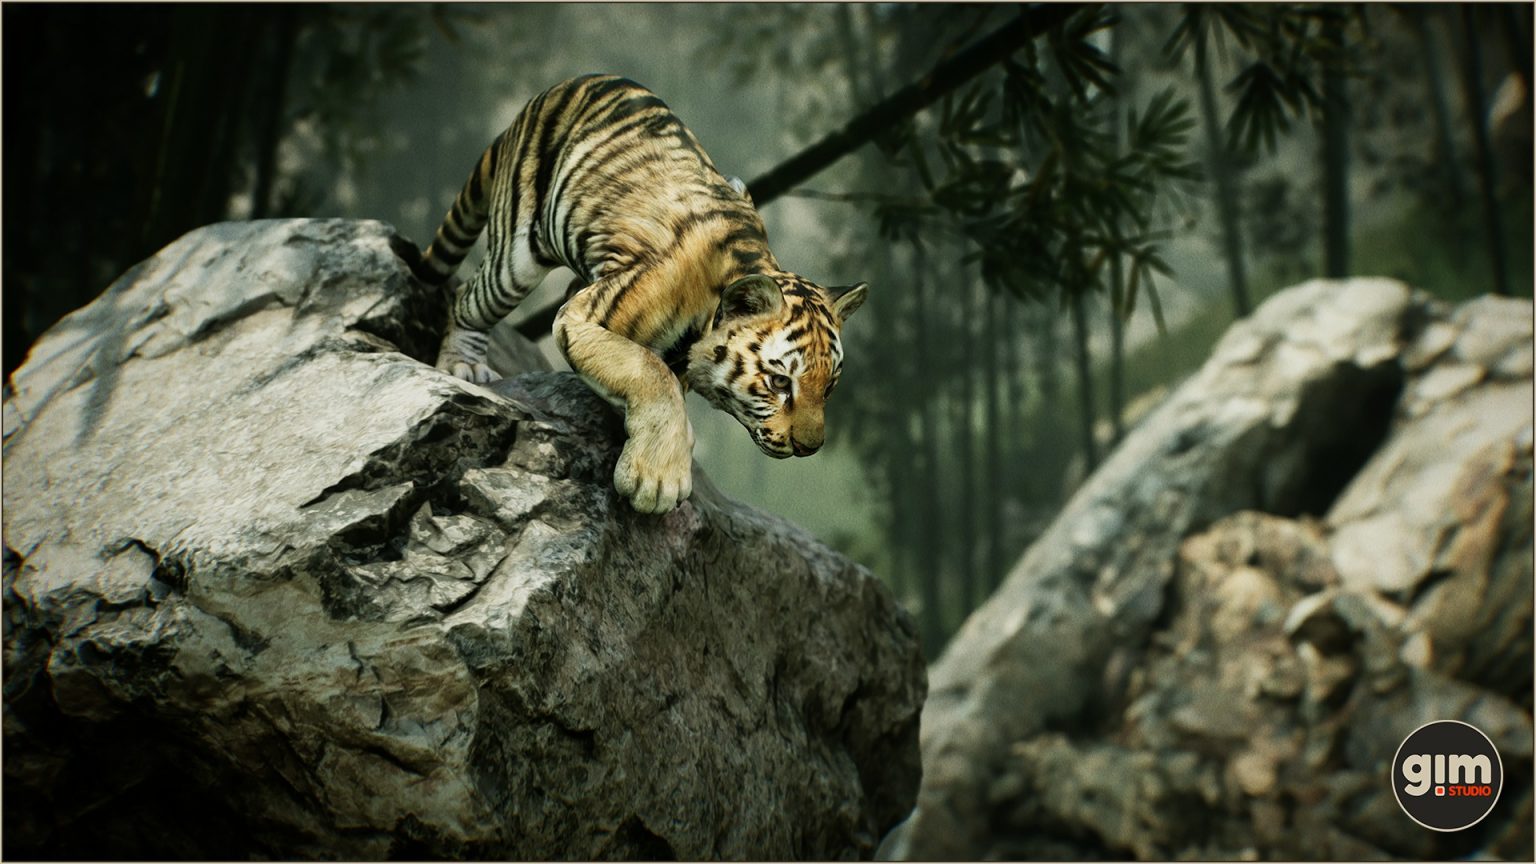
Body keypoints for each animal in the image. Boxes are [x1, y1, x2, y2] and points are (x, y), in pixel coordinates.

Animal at [401, 74, 868, 514]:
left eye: (829, 387)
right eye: (778, 382)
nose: (808, 447)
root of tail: (544, 98)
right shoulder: (583, 316)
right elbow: (650, 372)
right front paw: (657, 481)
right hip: (514, 263)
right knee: (467, 297)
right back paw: (462, 364)